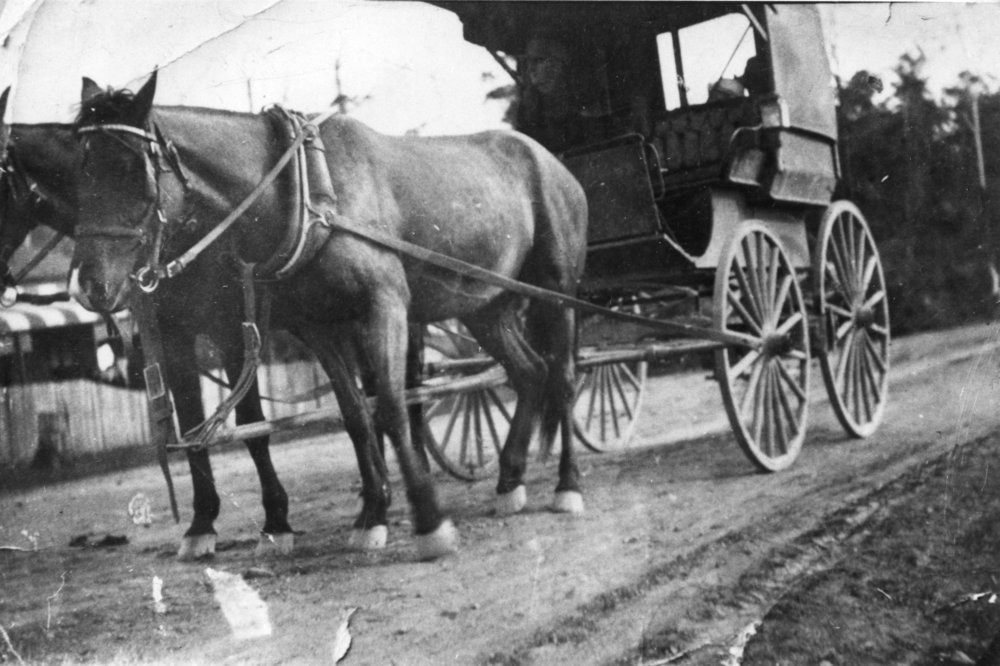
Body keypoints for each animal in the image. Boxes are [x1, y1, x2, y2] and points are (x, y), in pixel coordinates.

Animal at [0, 87, 395, 560]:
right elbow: (190, 424)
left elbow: (251, 423)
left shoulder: (230, 333)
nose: (88, 286)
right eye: (82, 176)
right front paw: (201, 524)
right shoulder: (173, 336)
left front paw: (276, 521)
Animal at [69, 71, 589, 559]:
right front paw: (372, 516)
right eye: (79, 170)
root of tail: (551, 162)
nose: (90, 286)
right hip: (485, 306)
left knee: (562, 377)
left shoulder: (383, 307)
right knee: (529, 372)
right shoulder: (318, 327)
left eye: (131, 169)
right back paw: (510, 481)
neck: (308, 191)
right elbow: (356, 415)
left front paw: (429, 521)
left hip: (556, 292)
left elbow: (392, 409)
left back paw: (568, 485)